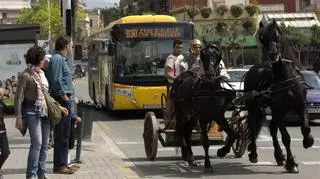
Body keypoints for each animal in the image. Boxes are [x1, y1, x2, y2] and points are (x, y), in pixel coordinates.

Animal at [171, 42, 236, 171]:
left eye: (216, 56)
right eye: (204, 56)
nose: (211, 74)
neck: (210, 90)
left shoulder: (219, 116)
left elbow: (232, 134)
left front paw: (222, 151)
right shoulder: (202, 118)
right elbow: (205, 141)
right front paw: (208, 164)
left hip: (191, 117)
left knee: (187, 134)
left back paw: (191, 158)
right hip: (181, 114)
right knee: (181, 133)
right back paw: (187, 155)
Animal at [244, 19, 314, 173]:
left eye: (276, 34)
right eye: (262, 38)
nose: (272, 54)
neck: (285, 77)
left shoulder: (301, 105)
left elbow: (305, 128)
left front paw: (308, 141)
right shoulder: (279, 110)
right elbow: (286, 137)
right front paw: (292, 163)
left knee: (272, 129)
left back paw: (279, 156)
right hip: (254, 107)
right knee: (254, 128)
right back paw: (254, 153)